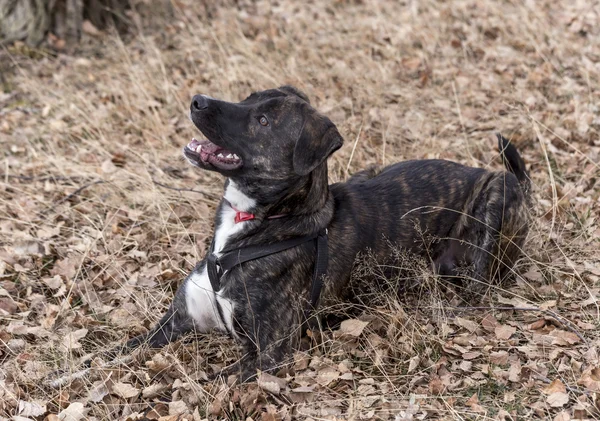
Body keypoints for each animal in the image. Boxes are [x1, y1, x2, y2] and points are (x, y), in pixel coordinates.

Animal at [111, 85, 528, 380]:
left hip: (496, 196)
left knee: (480, 283)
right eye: (247, 98)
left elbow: (216, 380)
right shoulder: (177, 321)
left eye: (264, 121)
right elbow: (118, 350)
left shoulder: (267, 353)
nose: (197, 100)